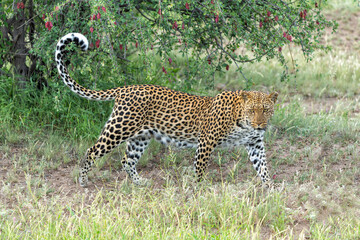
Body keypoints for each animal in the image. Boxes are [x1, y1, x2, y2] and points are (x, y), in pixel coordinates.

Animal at [55, 32, 278, 188]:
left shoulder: (255, 144)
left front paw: (271, 187)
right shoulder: (206, 142)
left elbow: (263, 167)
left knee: (127, 160)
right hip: (118, 129)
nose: (260, 125)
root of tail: (125, 88)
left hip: (140, 137)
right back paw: (83, 181)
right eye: (252, 110)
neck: (243, 123)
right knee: (92, 150)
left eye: (266, 110)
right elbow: (200, 168)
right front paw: (200, 188)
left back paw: (140, 183)